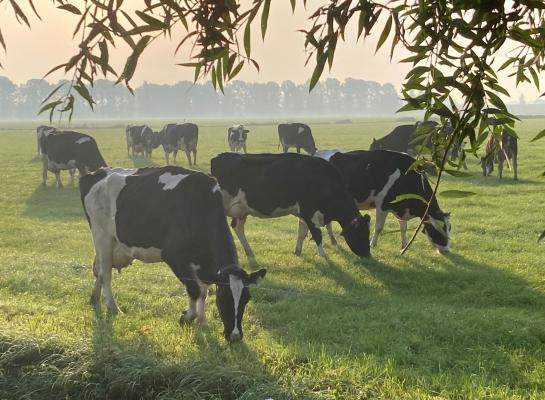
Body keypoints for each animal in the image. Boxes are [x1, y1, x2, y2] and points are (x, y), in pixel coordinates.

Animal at [79, 165, 266, 340]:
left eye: (247, 298)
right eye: (224, 298)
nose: (235, 336)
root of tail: (97, 172)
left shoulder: (203, 265)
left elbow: (203, 292)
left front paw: (202, 322)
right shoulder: (175, 257)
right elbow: (195, 290)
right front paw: (187, 317)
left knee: (100, 270)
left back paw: (94, 299)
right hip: (102, 236)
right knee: (106, 272)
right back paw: (113, 307)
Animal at [210, 152, 372, 260]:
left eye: (368, 232)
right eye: (361, 234)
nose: (367, 255)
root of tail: (220, 157)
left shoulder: (304, 214)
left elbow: (302, 233)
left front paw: (298, 251)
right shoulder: (309, 211)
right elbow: (317, 234)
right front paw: (323, 255)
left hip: (241, 211)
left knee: (238, 228)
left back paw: (249, 252)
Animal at [314, 148, 450, 255]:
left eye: (449, 228)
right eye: (436, 231)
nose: (446, 251)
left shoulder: (400, 207)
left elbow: (403, 227)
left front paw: (404, 245)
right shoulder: (382, 205)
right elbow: (378, 227)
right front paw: (372, 244)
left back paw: (333, 241)